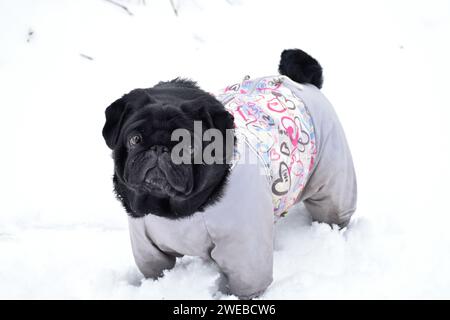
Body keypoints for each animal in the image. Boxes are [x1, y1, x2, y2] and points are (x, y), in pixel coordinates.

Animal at [103, 48, 358, 298]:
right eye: (135, 139)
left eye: (188, 146)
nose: (158, 149)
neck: (174, 214)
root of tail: (300, 81)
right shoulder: (146, 247)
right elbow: (155, 269)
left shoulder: (243, 250)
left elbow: (246, 282)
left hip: (331, 181)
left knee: (333, 209)